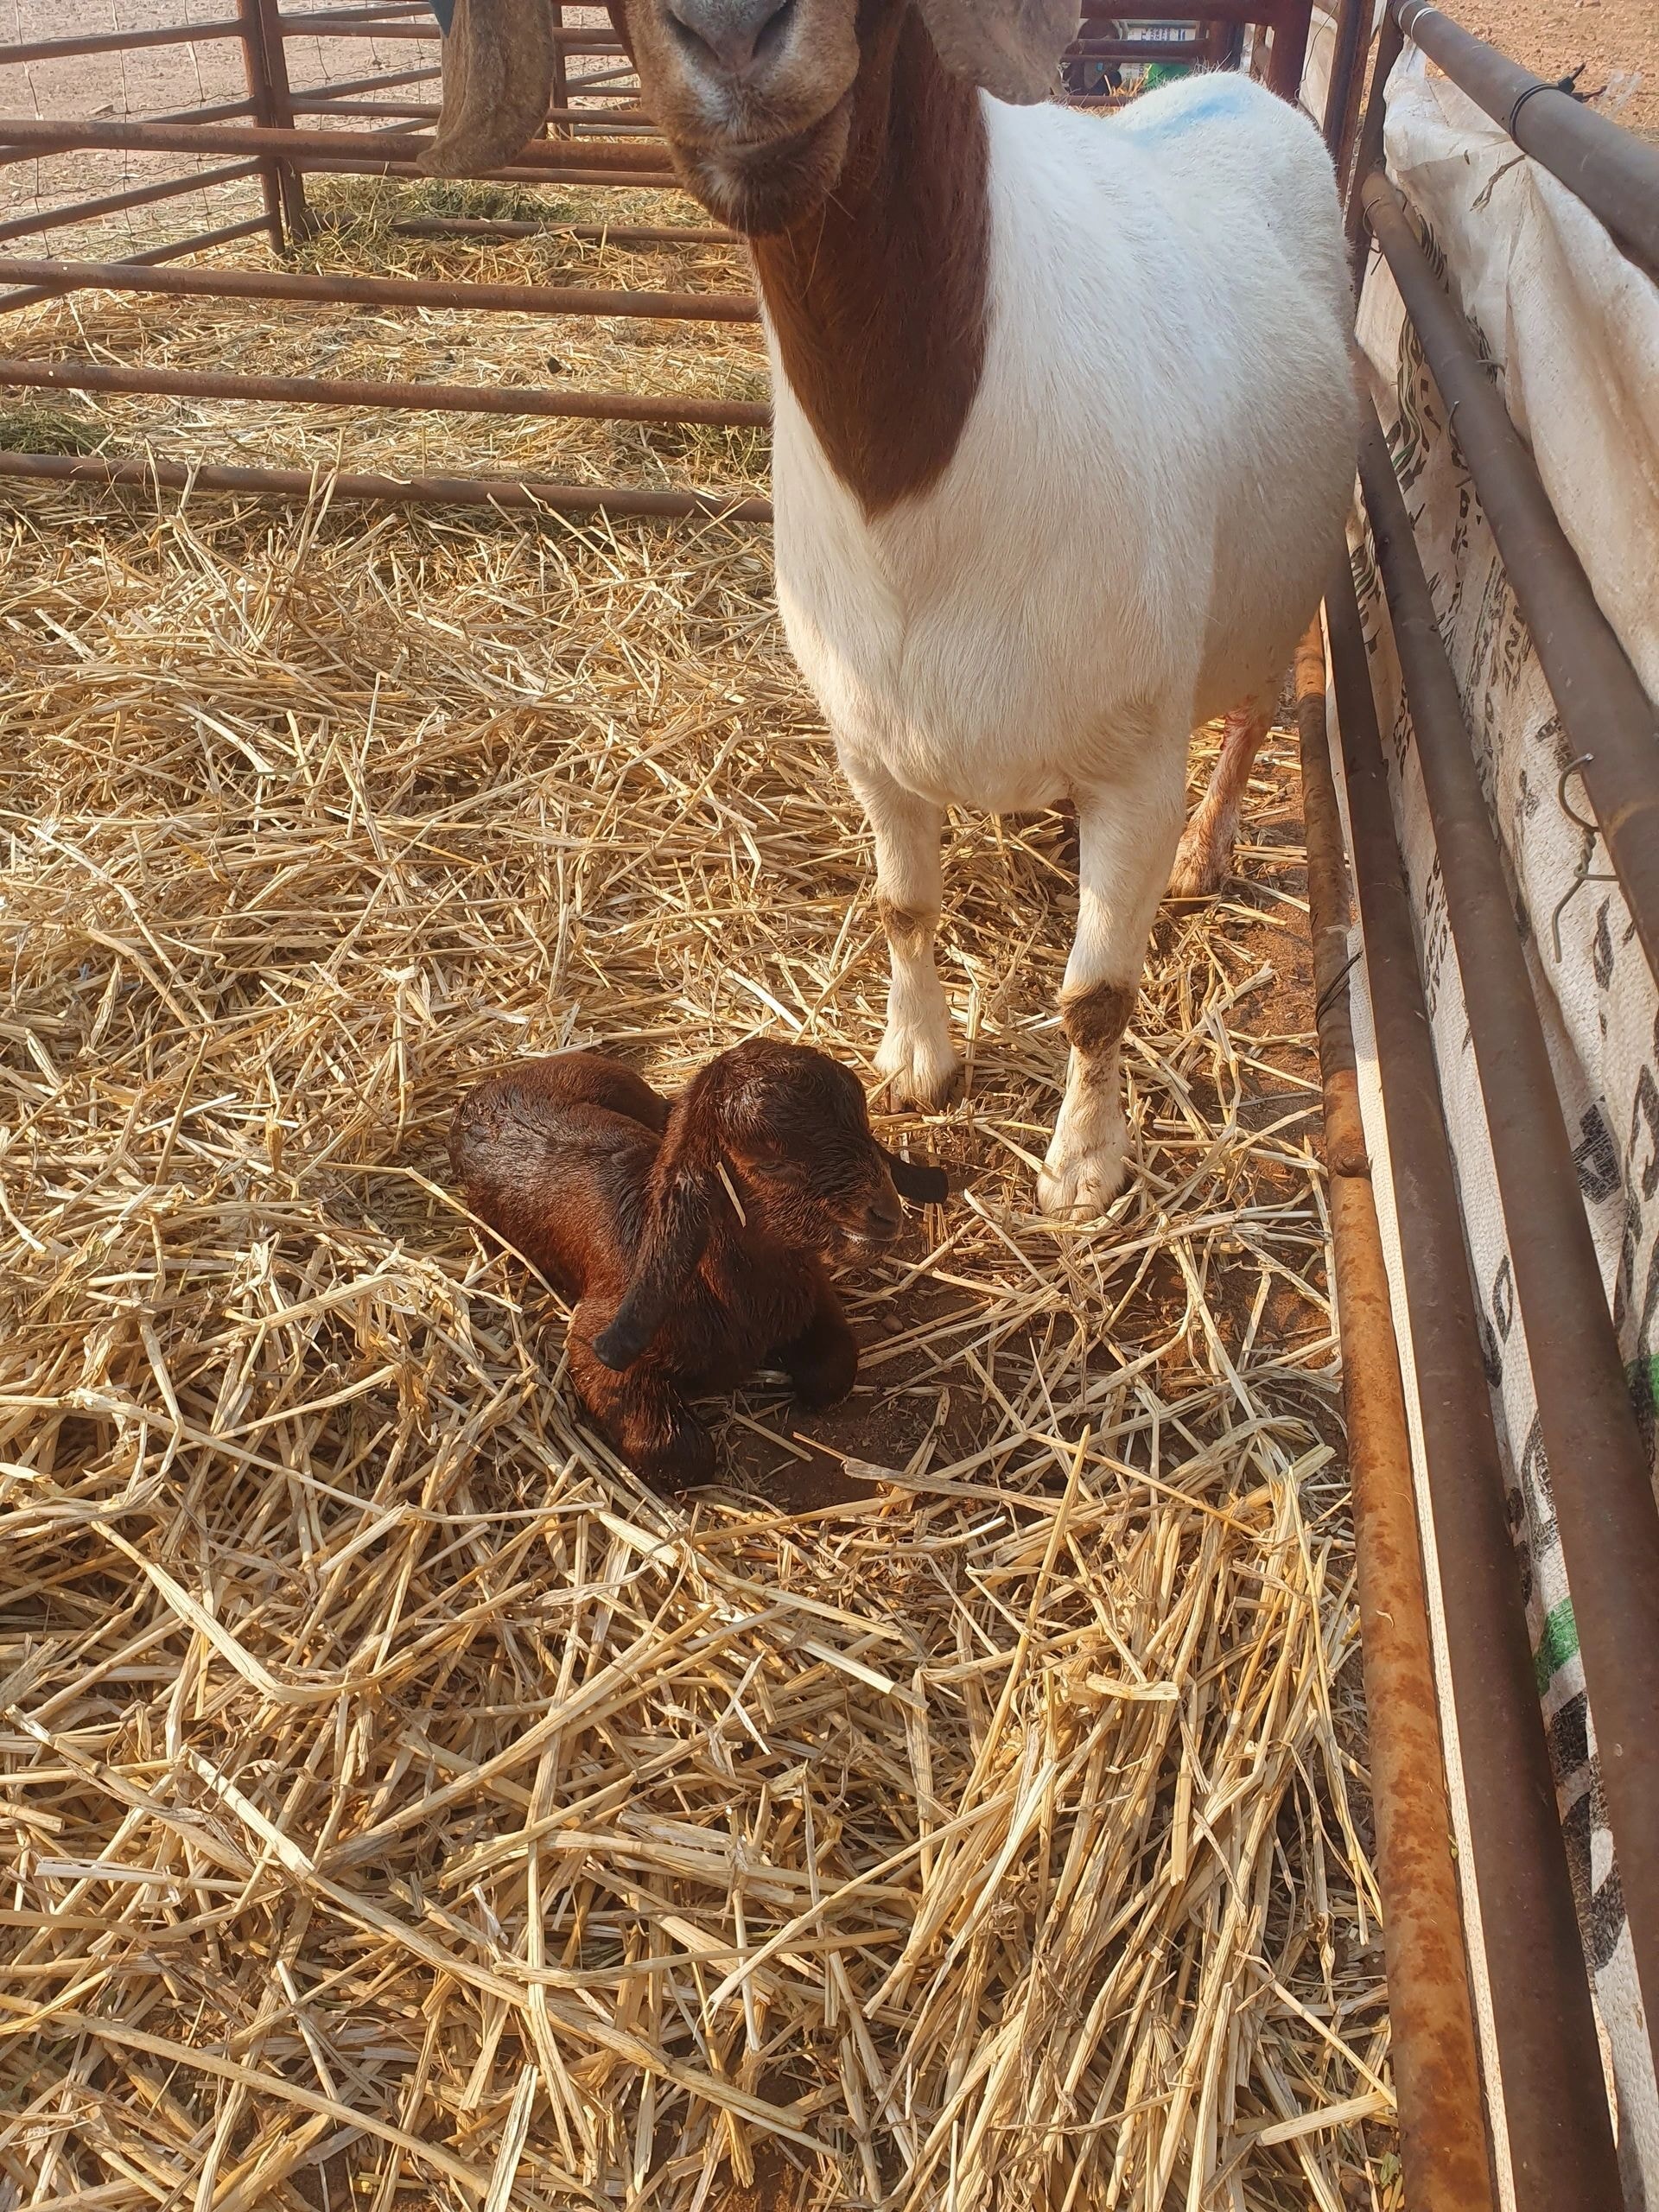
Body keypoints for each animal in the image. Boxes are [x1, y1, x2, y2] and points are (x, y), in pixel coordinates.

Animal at [425, 0, 1358, 1219]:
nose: (731, 39)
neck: (922, 481)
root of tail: (1247, 91)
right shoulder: (870, 741)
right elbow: (903, 909)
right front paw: (917, 1063)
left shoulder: (1136, 762)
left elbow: (1097, 995)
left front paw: (1082, 1167)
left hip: (1274, 591)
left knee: (1256, 711)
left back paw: (1206, 855)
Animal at [450, 1042, 948, 1488]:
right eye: (770, 1162)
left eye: (862, 1126)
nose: (886, 1214)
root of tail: (489, 1087)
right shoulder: (596, 1342)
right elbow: (681, 1453)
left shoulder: (813, 1287)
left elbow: (831, 1373)